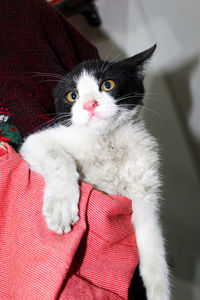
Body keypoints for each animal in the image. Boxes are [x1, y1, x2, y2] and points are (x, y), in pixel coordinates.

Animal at [20, 44, 170, 300]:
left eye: (107, 85)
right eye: (73, 96)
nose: (90, 105)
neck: (107, 142)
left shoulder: (145, 189)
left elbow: (151, 241)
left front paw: (158, 290)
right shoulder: (37, 142)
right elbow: (57, 157)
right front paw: (61, 206)